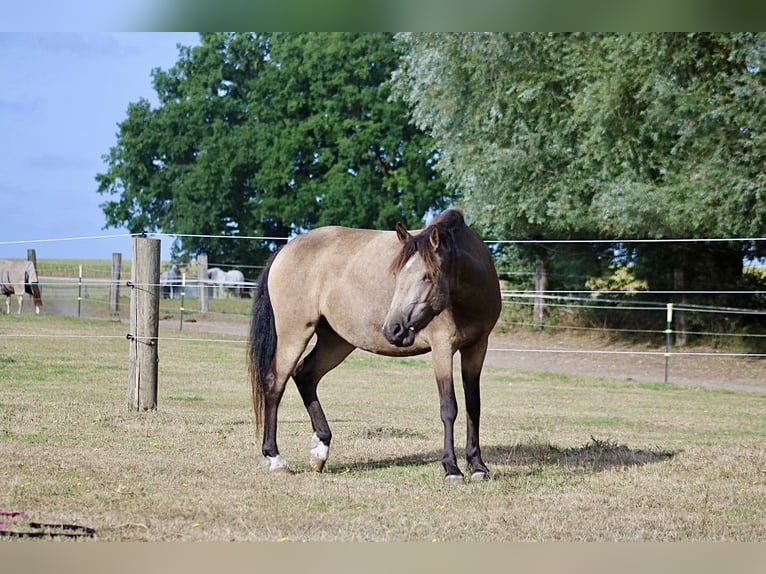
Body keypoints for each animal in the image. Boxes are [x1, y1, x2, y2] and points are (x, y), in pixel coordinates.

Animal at [247, 209, 501, 484]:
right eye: (397, 276)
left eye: (427, 276)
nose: (393, 328)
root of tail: (285, 249)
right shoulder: (443, 348)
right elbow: (449, 408)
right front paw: (452, 469)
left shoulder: (477, 347)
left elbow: (473, 406)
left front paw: (478, 466)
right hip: (294, 334)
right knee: (275, 384)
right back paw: (275, 459)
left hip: (336, 341)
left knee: (305, 375)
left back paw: (320, 450)